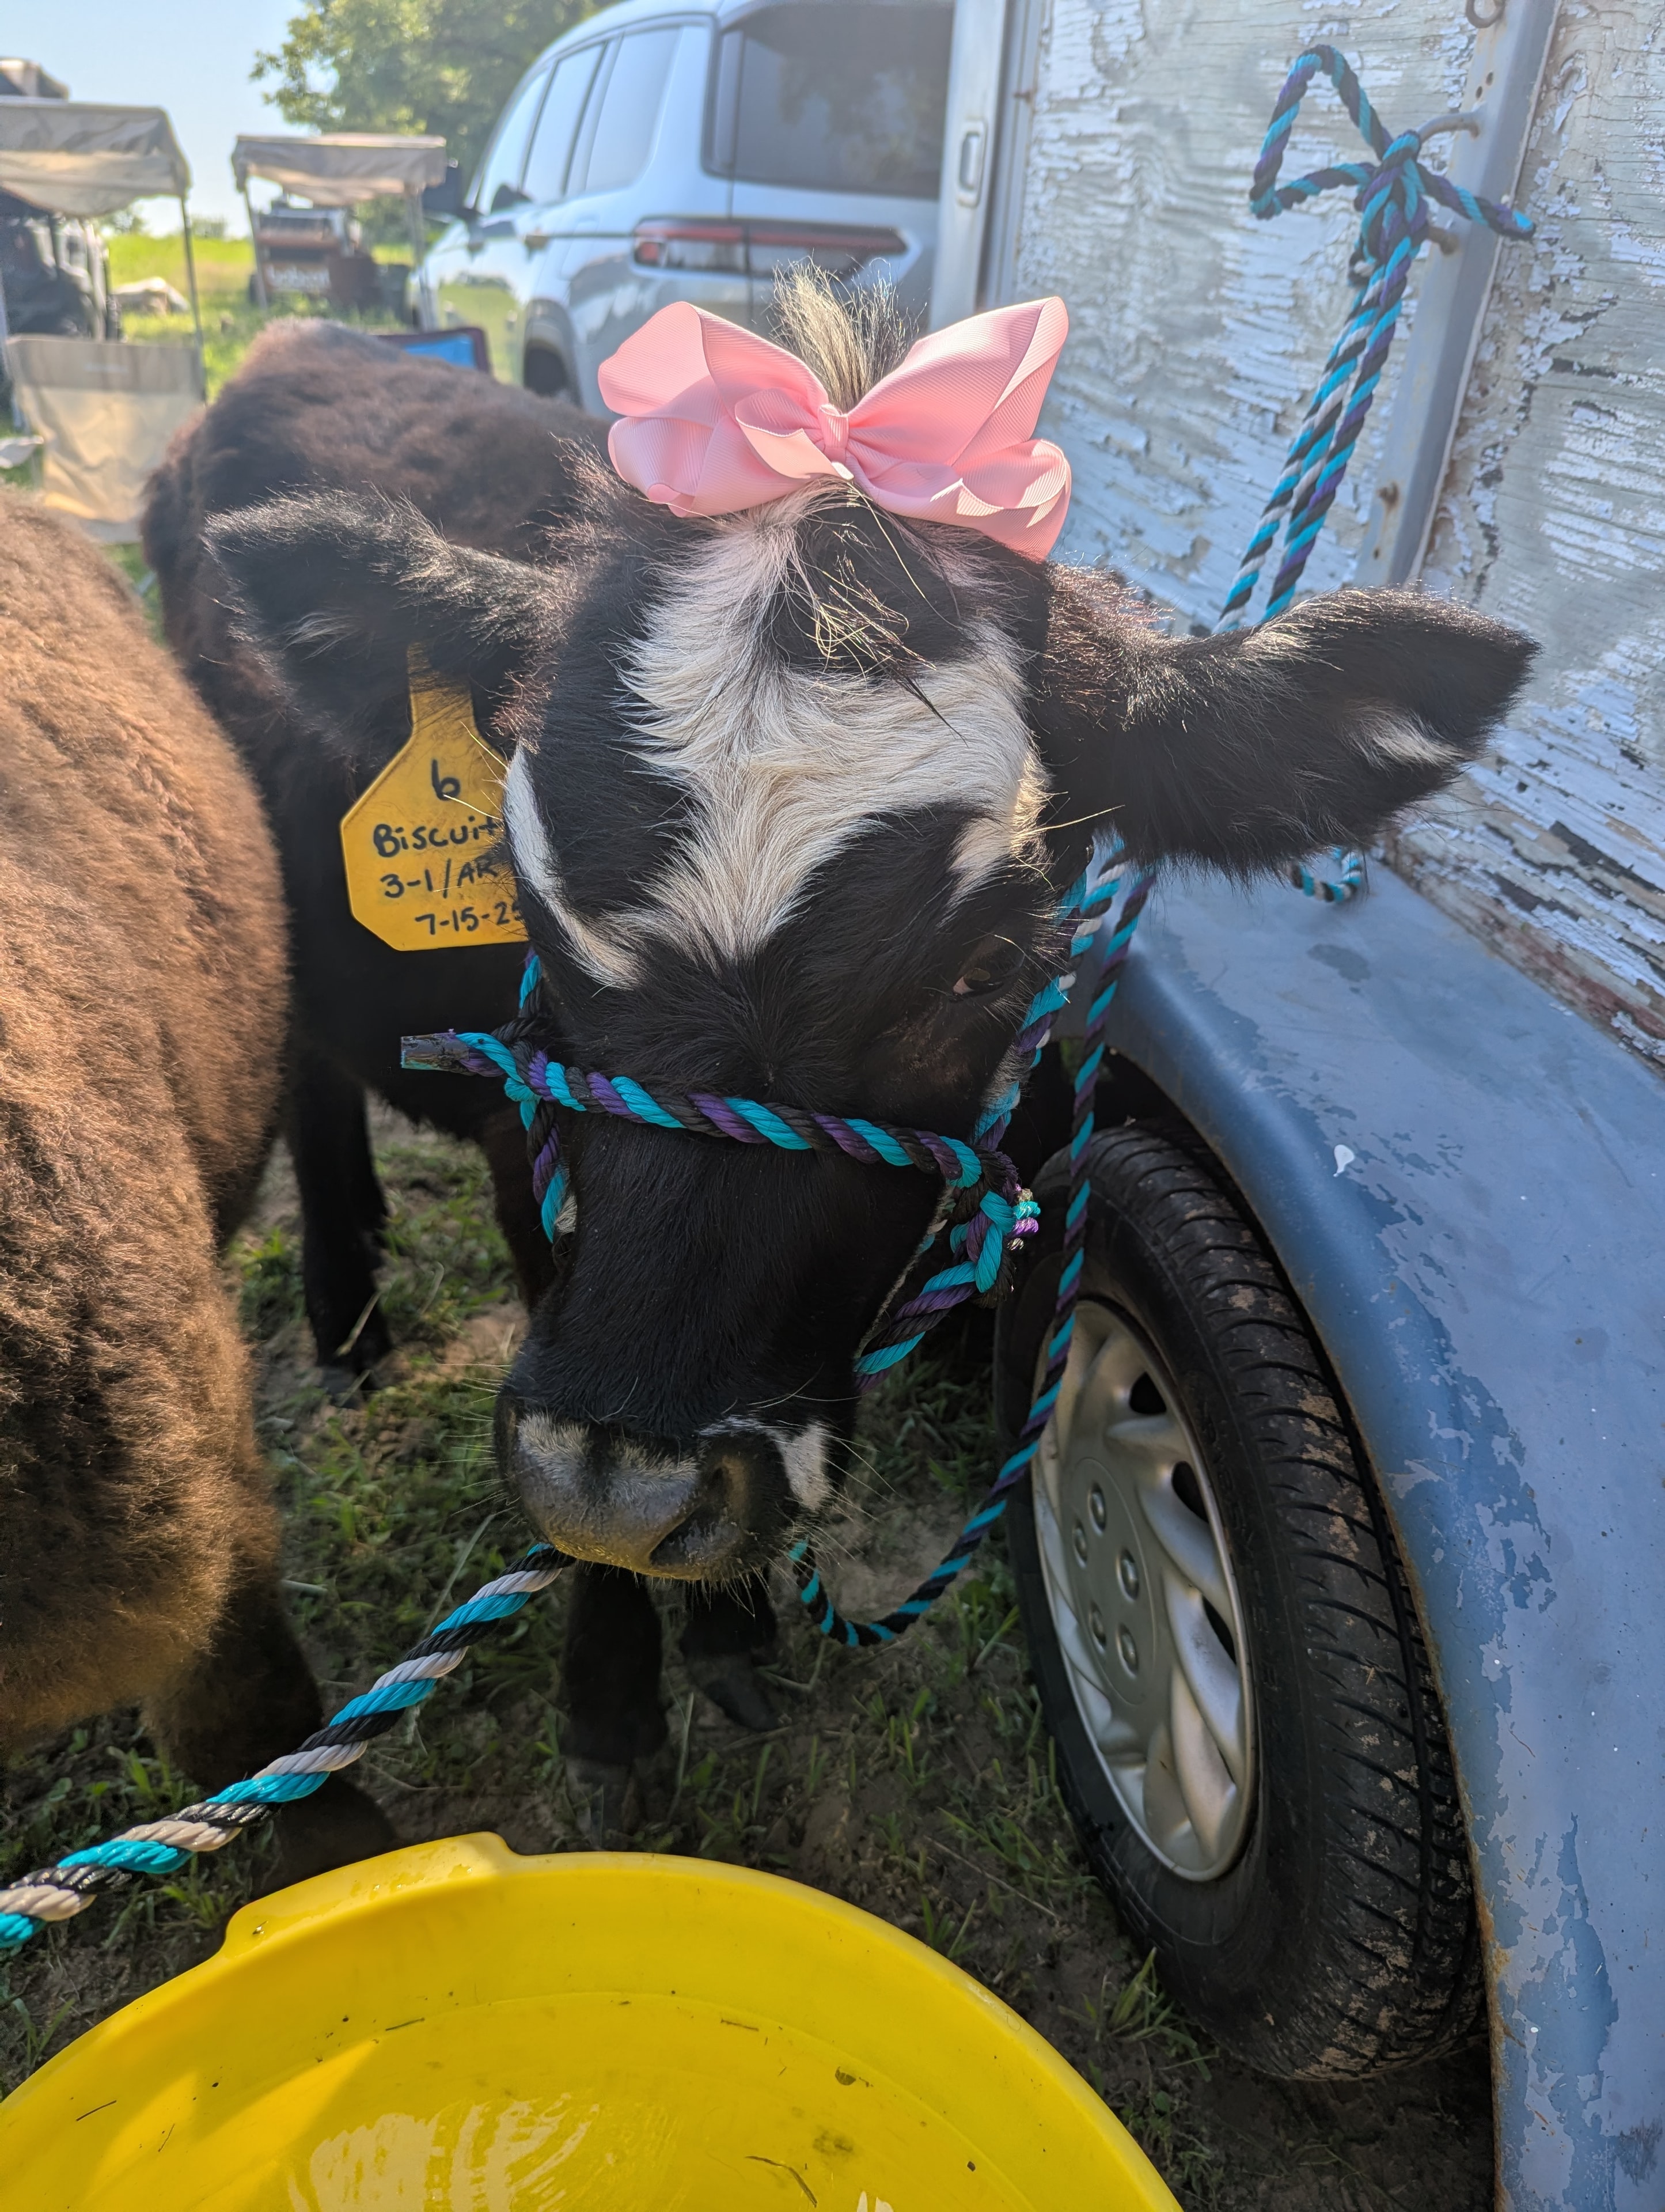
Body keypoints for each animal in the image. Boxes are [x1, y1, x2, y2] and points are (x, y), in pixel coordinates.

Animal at [152, 284, 1533, 1831]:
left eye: (985, 968)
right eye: (529, 905)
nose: (625, 1482)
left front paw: (727, 1627)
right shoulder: (530, 1158)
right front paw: (615, 1702)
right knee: (306, 1067)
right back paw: (345, 1320)